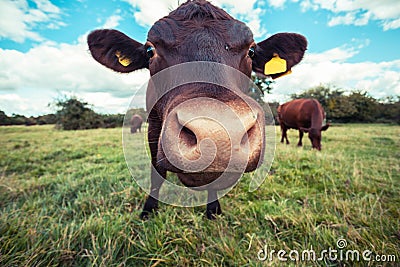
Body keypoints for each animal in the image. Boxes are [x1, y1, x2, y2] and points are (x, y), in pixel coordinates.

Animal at [86, 0, 306, 220]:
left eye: (251, 51)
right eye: (150, 50)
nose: (218, 135)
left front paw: (213, 210)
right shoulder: (153, 127)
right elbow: (156, 173)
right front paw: (149, 209)